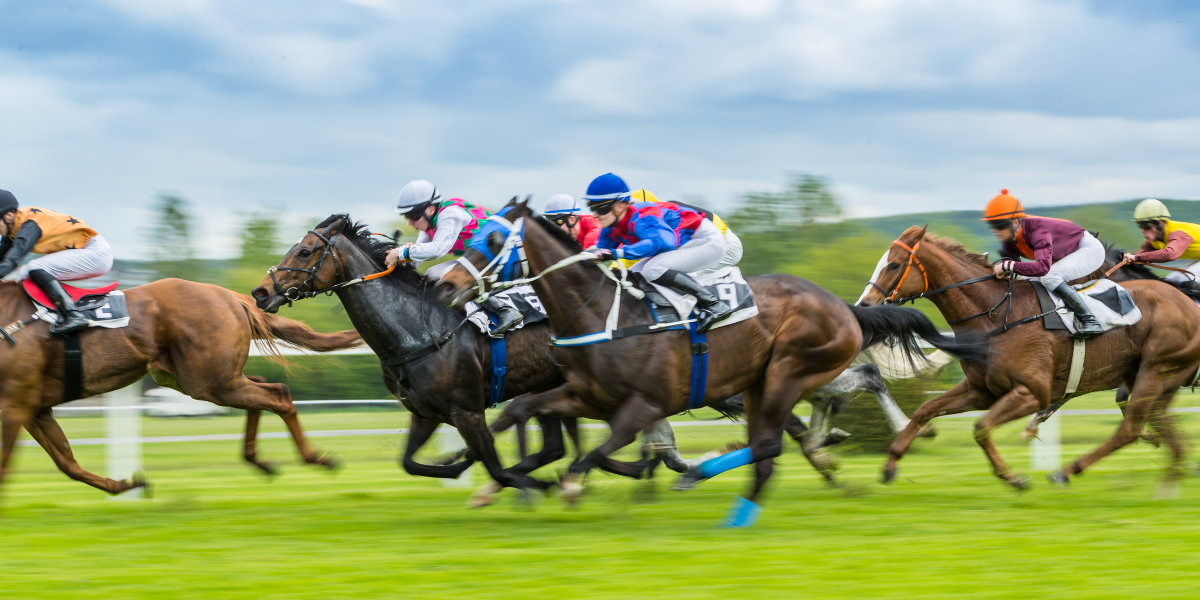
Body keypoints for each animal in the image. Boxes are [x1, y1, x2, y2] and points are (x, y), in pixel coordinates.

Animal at [0, 278, 360, 499]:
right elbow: (67, 462)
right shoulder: (33, 408)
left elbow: (7, 468)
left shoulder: (14, 405)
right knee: (262, 389)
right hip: (204, 378)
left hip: (208, 380)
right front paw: (128, 483)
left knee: (278, 394)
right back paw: (258, 459)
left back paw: (315, 458)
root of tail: (231, 296)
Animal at [432, 198, 984, 520]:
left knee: (806, 417)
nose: (445, 286)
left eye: (492, 238)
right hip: (765, 381)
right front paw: (477, 470)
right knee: (780, 434)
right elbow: (517, 412)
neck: (602, 312)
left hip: (788, 371)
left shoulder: (643, 404)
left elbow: (597, 452)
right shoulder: (586, 395)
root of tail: (842, 306)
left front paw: (561, 485)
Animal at [859, 225, 1200, 492]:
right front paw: (890, 464)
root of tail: (1187, 303)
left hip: (1155, 370)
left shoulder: (1032, 393)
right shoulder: (982, 390)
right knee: (1162, 428)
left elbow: (981, 427)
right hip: (1155, 378)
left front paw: (1013, 478)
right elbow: (925, 410)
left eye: (894, 265)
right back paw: (1169, 478)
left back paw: (1065, 472)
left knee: (1129, 429)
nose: (865, 304)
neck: (997, 315)